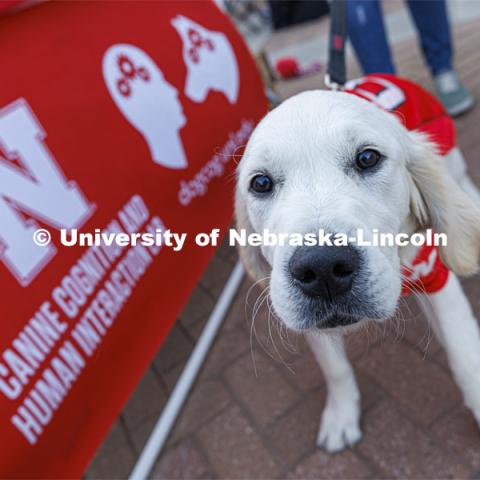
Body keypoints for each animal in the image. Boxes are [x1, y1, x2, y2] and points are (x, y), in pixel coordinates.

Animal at [234, 77, 480, 452]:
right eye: (260, 183)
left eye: (367, 158)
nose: (322, 268)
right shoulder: (305, 317)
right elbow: (334, 368)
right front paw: (341, 415)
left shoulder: (434, 274)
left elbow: (464, 352)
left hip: (449, 157)